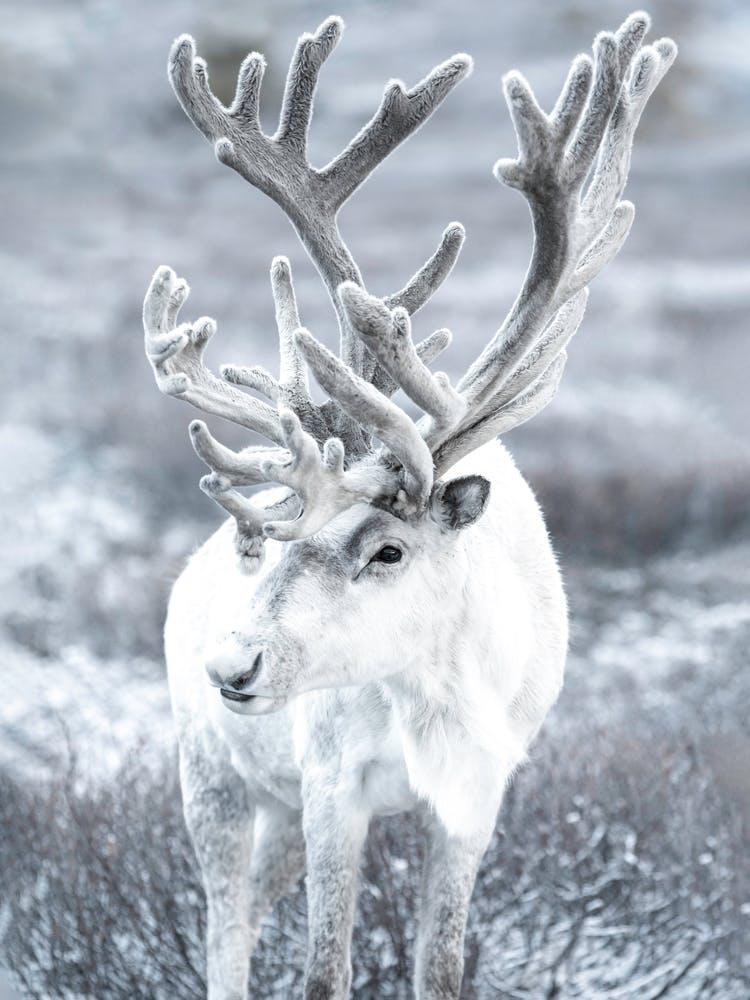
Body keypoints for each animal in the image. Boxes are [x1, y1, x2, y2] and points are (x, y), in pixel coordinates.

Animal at [142, 11, 675, 999]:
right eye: (282, 544)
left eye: (388, 549)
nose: (232, 664)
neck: (435, 696)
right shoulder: (329, 785)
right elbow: (323, 971)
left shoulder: (476, 799)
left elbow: (441, 967)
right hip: (217, 779)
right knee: (224, 931)